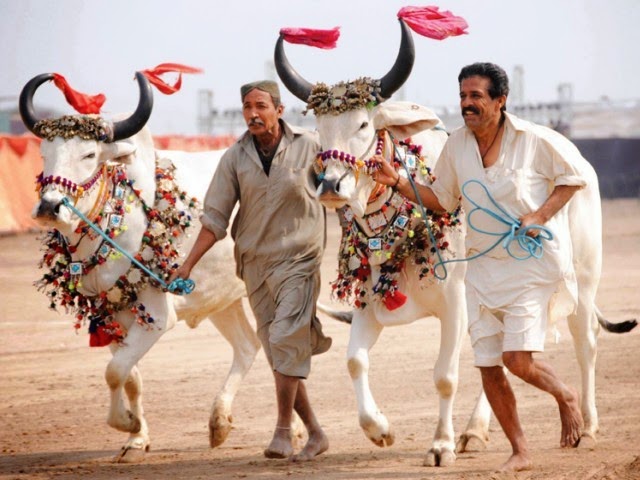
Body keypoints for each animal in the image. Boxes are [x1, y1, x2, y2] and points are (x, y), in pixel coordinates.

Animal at [19, 73, 264, 464]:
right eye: (44, 153)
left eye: (89, 154)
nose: (48, 207)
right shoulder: (110, 315)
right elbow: (129, 376)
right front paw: (135, 435)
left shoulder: (157, 316)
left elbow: (114, 371)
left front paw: (127, 424)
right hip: (222, 300)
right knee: (249, 346)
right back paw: (221, 423)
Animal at [274, 18, 636, 464]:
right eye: (320, 129)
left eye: (363, 125)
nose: (329, 185)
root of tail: (579, 157)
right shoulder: (371, 307)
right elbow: (355, 362)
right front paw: (380, 430)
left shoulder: (454, 304)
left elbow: (445, 376)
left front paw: (440, 445)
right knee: (500, 355)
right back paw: (476, 431)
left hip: (583, 283)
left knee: (586, 343)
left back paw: (585, 426)